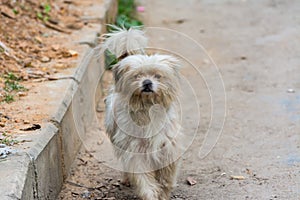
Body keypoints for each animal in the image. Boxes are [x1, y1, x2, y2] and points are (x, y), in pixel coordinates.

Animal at [101, 26, 183, 200]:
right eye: (137, 76)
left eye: (158, 76)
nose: (147, 82)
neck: (147, 109)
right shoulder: (135, 152)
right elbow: (143, 180)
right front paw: (151, 195)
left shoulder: (167, 147)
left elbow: (167, 176)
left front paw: (164, 191)